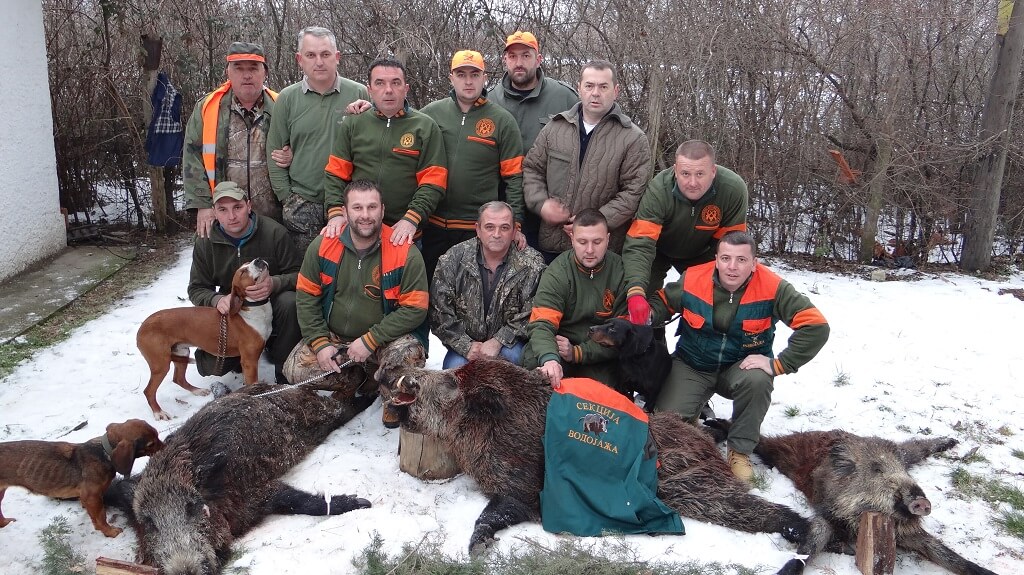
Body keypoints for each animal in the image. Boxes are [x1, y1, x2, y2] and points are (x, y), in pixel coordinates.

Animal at [0, 419, 161, 536]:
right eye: (150, 444)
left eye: (157, 434)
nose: (165, 446)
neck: (104, 452)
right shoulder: (92, 496)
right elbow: (101, 516)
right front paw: (109, 531)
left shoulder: (89, 498)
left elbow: (95, 514)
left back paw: (5, 523)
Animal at [136, 258, 274, 415]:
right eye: (243, 272)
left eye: (248, 262)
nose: (258, 260)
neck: (251, 309)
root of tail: (142, 328)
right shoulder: (249, 361)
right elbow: (253, 383)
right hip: (161, 364)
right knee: (148, 391)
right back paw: (159, 412)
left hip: (181, 351)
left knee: (178, 379)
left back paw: (197, 391)